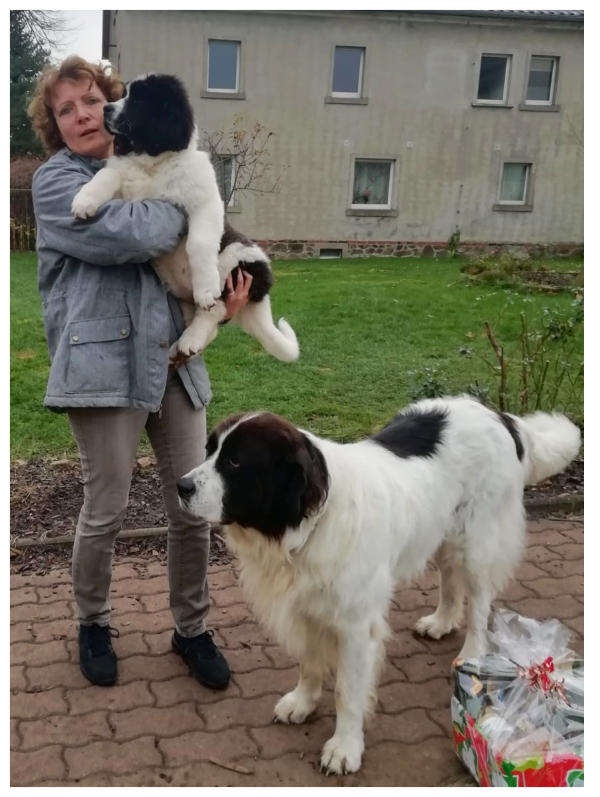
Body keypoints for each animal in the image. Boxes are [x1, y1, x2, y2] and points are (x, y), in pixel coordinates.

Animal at [71, 73, 299, 364]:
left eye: (139, 99)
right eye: (124, 94)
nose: (105, 110)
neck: (153, 162)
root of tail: (261, 296)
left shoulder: (207, 203)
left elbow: (198, 242)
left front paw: (205, 289)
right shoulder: (127, 191)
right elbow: (109, 174)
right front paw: (84, 200)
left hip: (237, 259)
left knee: (215, 309)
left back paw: (192, 335)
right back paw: (180, 348)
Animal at [176, 395, 580, 774]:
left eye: (235, 463)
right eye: (210, 450)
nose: (181, 486)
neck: (307, 526)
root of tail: (499, 416)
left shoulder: (355, 627)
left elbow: (346, 691)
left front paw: (344, 747)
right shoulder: (305, 609)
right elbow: (309, 661)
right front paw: (303, 702)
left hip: (478, 541)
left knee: (479, 601)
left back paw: (472, 653)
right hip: (440, 530)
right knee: (450, 579)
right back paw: (441, 622)